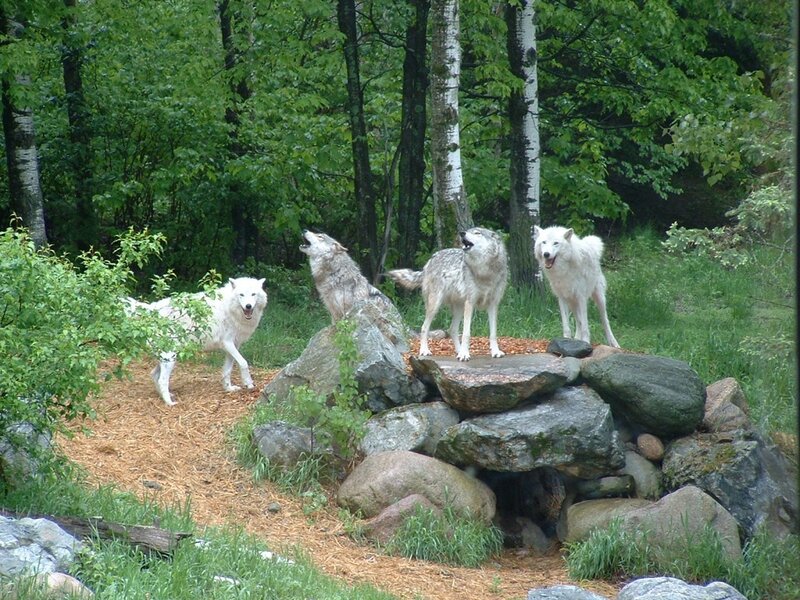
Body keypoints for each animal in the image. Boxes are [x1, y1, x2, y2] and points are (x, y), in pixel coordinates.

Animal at [127, 277, 267, 406]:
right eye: (241, 295)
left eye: (253, 294)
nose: (248, 306)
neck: (229, 308)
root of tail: (152, 308)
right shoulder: (227, 343)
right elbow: (244, 363)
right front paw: (249, 383)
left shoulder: (233, 346)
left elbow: (227, 370)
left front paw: (229, 388)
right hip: (170, 357)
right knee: (162, 379)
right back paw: (170, 403)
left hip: (168, 357)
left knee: (154, 375)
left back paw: (165, 396)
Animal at [388, 227, 508, 361]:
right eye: (468, 230)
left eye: (477, 233)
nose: (462, 233)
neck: (485, 272)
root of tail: (431, 259)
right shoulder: (470, 303)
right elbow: (466, 333)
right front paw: (465, 354)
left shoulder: (493, 304)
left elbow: (493, 333)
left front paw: (495, 352)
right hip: (435, 305)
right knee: (424, 328)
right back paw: (425, 351)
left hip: (459, 308)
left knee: (452, 329)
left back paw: (458, 351)